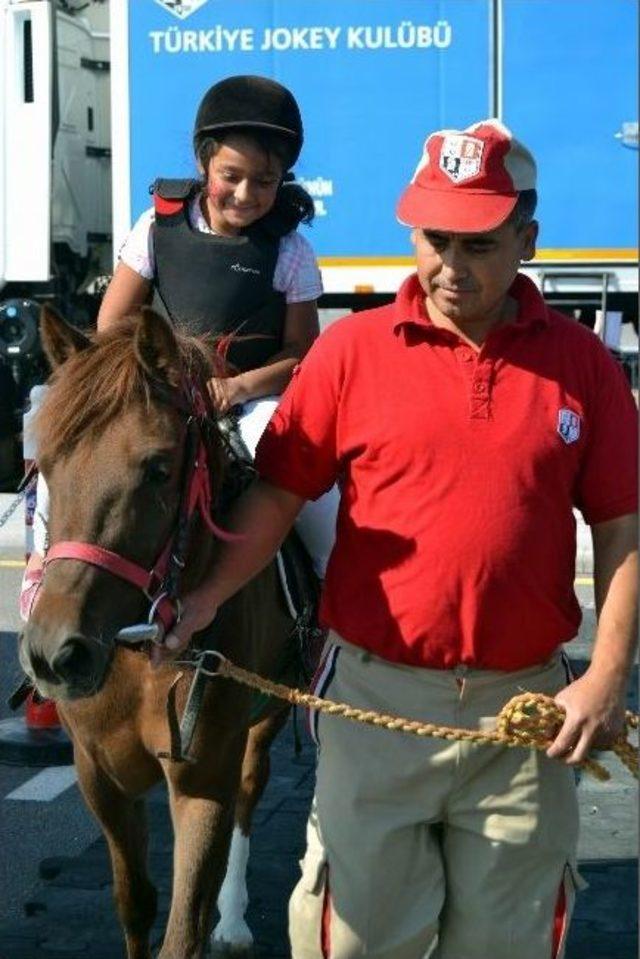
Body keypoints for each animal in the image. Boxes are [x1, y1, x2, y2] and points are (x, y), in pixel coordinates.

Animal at [19, 310, 296, 959]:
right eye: (47, 466)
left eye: (159, 469)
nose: (54, 654)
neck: (134, 651)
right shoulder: (98, 775)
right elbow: (135, 903)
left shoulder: (203, 778)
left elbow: (183, 927)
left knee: (252, 786)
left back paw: (235, 919)